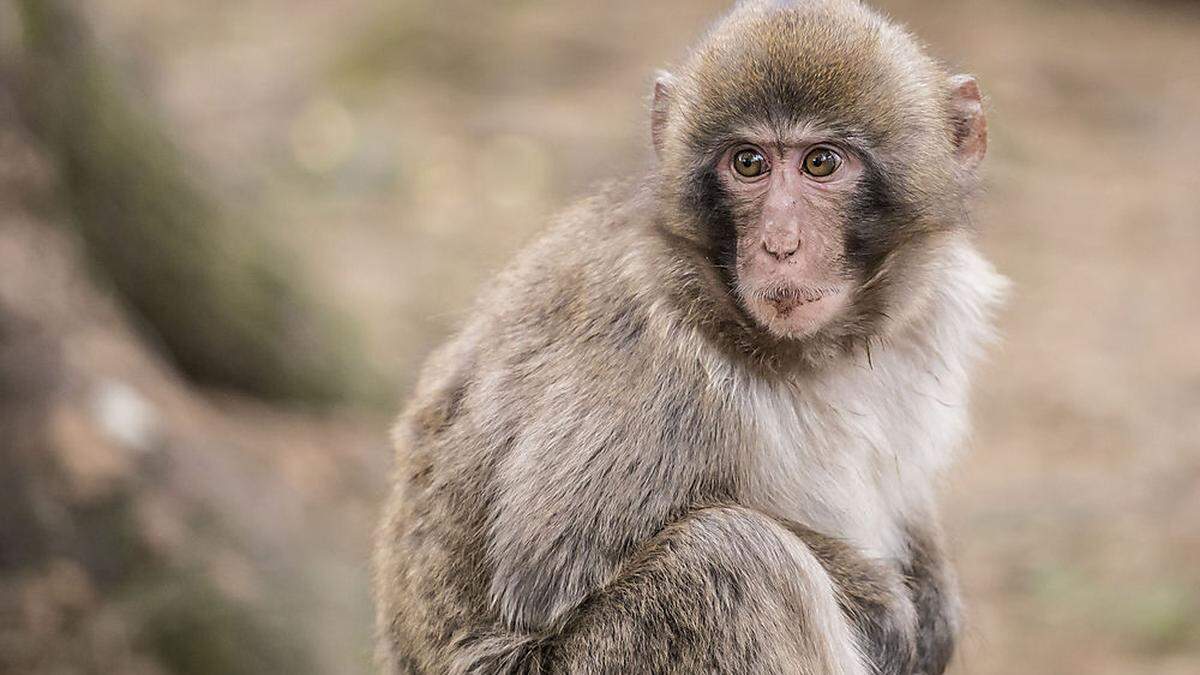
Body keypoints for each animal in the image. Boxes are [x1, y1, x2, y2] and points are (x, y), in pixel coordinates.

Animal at [372, 1, 1003, 667]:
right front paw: (883, 605)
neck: (809, 350)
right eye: (748, 162)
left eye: (821, 162)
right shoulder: (650, 358)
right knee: (735, 557)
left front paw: (933, 600)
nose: (779, 244)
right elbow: (545, 576)